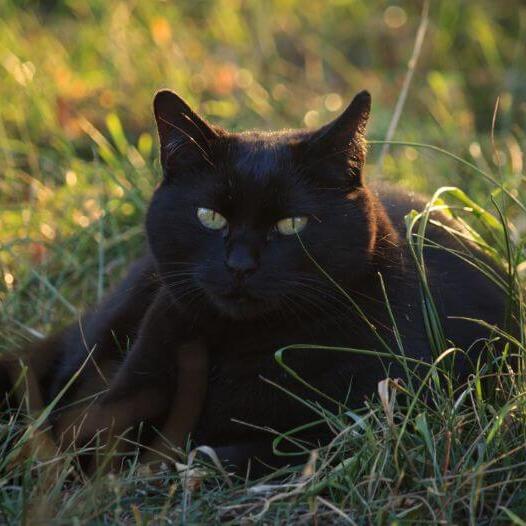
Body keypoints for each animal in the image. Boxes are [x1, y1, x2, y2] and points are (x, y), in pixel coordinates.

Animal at [1, 91, 512, 478]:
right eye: (209, 216)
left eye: (291, 224)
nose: (240, 265)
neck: (239, 346)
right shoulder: (122, 393)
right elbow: (74, 445)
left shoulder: (375, 419)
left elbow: (242, 451)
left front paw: (188, 459)